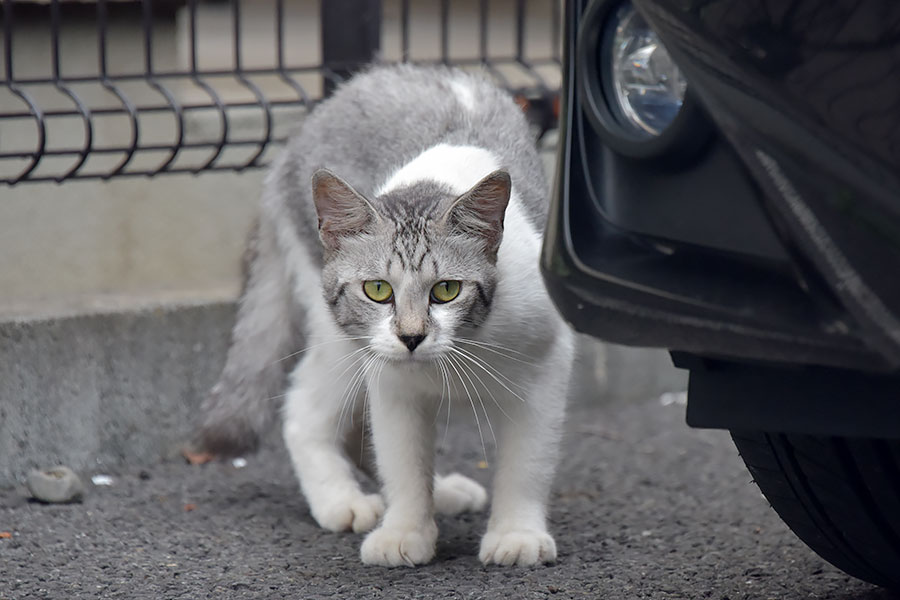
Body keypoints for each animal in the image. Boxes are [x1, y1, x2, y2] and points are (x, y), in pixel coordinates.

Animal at [197, 65, 576, 568]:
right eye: (378, 290)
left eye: (446, 290)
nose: (411, 336)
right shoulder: (392, 381)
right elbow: (403, 460)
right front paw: (405, 530)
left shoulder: (546, 365)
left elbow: (526, 463)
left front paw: (516, 534)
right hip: (341, 337)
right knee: (304, 409)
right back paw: (341, 500)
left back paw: (443, 493)